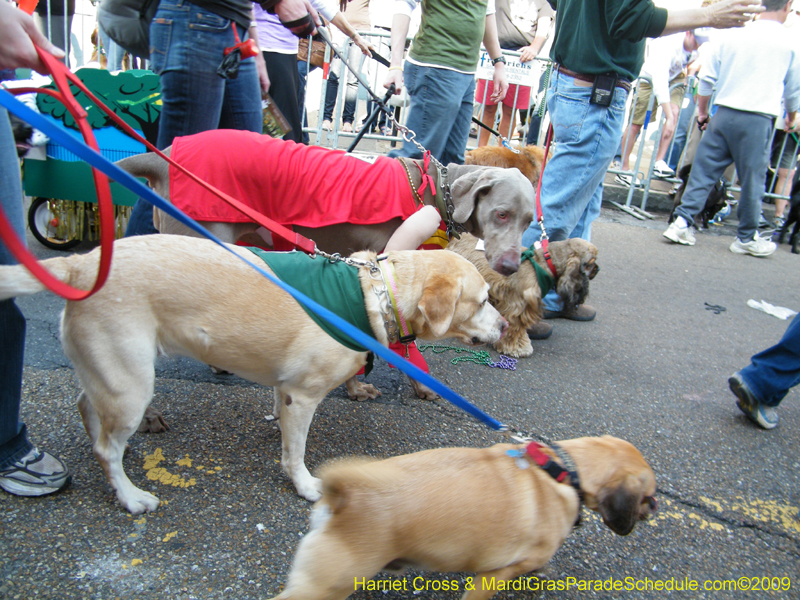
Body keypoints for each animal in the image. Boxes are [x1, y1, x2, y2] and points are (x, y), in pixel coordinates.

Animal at [268, 436, 656, 600]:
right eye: (649, 496)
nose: (654, 508)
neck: (563, 469)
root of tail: (345, 498)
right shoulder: (494, 576)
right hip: (324, 586)